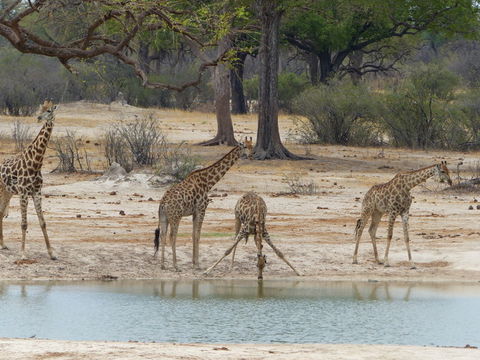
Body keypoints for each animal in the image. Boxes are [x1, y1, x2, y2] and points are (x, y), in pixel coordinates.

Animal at [0, 100, 58, 260]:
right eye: (41, 108)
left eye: (49, 110)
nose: (38, 118)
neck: (36, 163)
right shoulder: (23, 192)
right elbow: (24, 224)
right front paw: (23, 254)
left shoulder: (37, 192)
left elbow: (43, 222)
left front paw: (51, 253)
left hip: (7, 192)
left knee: (0, 213)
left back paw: (3, 244)